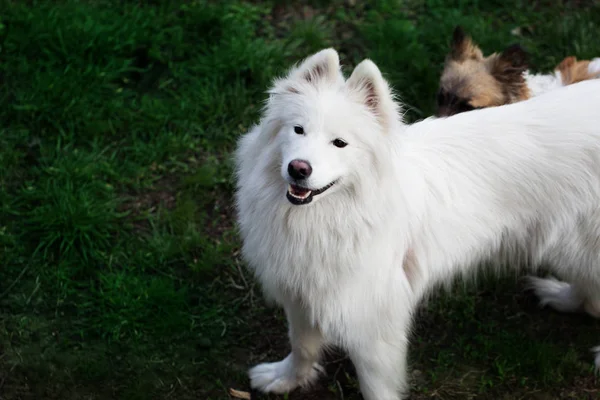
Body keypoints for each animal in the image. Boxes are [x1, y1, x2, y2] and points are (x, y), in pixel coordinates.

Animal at [233, 48, 600, 398]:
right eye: (298, 129)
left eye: (340, 143)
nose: (298, 168)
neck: (333, 213)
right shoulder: (301, 294)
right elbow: (302, 347)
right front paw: (285, 379)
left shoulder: (372, 322)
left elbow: (375, 386)